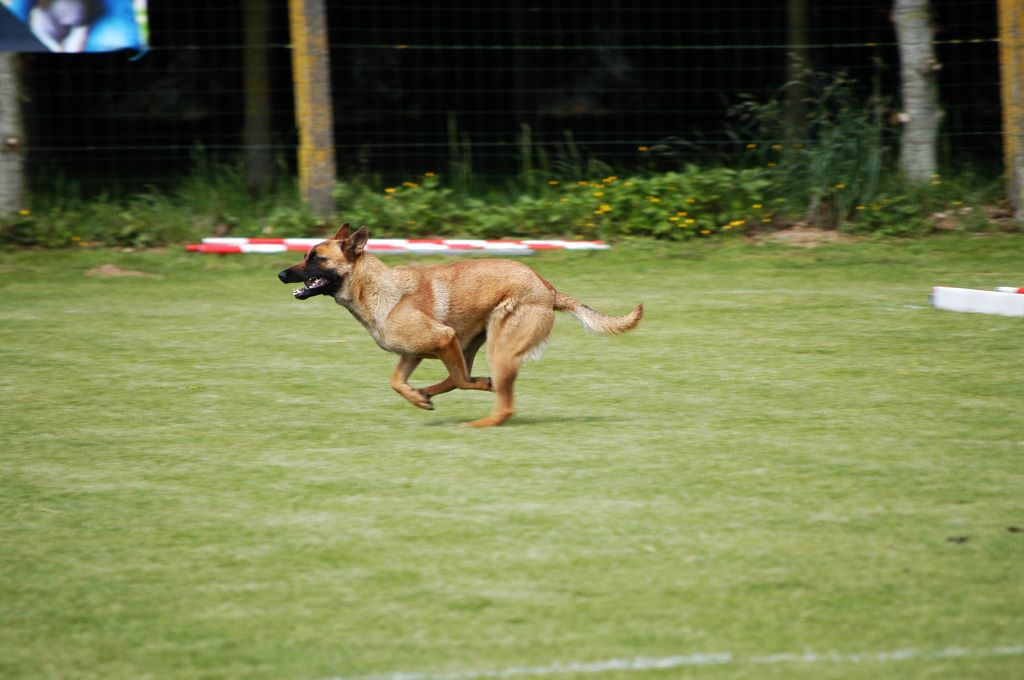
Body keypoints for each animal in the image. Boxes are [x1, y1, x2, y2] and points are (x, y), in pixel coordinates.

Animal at [278, 223, 638, 426]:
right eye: (306, 254)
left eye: (316, 257)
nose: (281, 274)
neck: (377, 289)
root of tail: (548, 290)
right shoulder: (413, 353)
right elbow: (396, 382)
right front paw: (417, 397)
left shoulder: (443, 338)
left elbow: (462, 381)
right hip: (473, 343)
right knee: (460, 377)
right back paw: (430, 393)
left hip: (497, 346)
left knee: (495, 398)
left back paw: (482, 419)